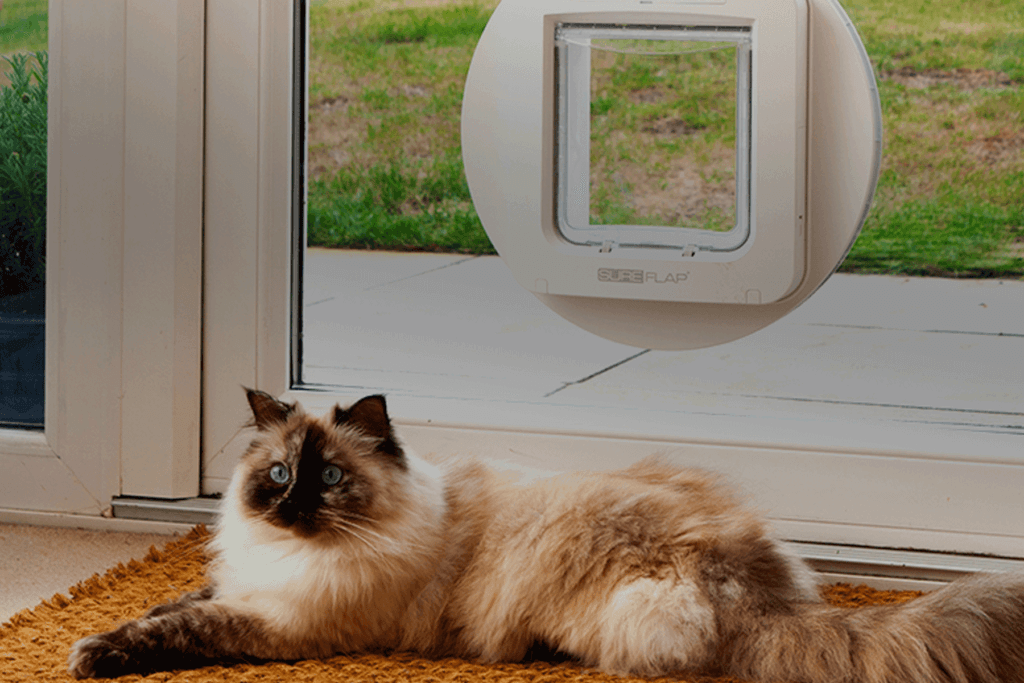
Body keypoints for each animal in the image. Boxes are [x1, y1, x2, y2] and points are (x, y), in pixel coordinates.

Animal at [68, 389, 1024, 683]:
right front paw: (104, 632)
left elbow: (181, 629)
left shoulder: (283, 625)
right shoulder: (245, 582)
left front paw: (88, 653)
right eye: (274, 477)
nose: (290, 506)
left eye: (329, 479)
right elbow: (168, 604)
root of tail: (763, 586)